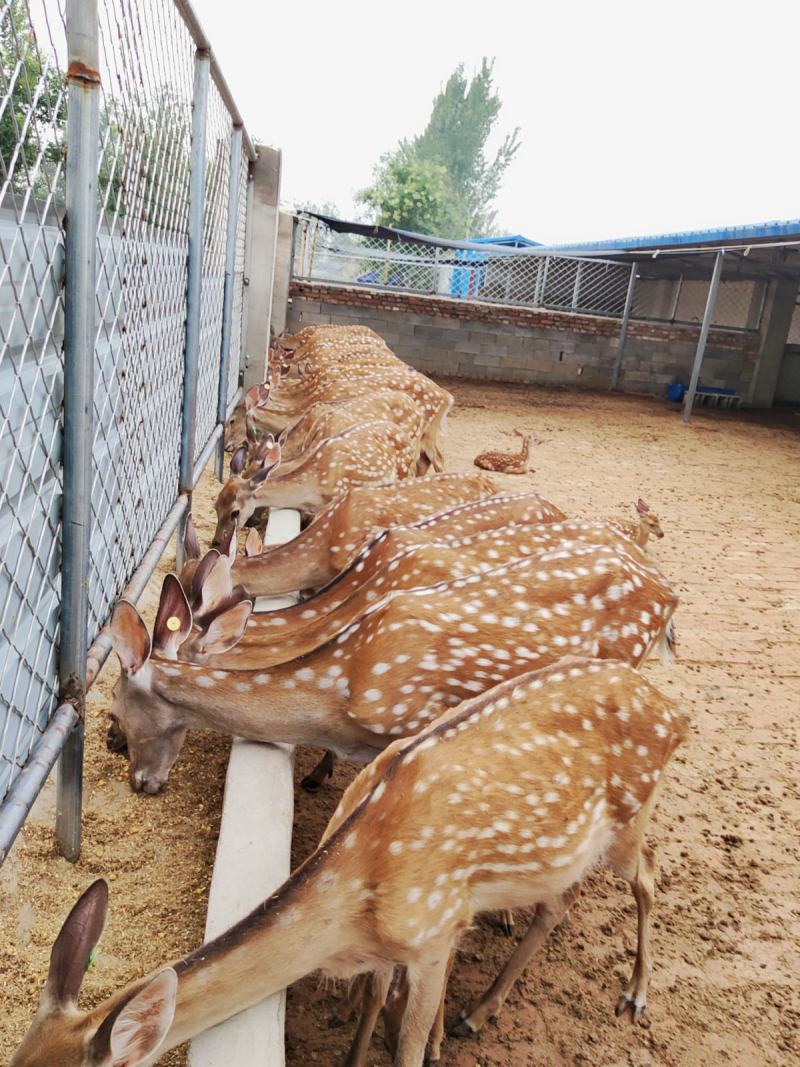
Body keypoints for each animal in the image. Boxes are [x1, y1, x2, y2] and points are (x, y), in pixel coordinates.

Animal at [12, 659, 688, 1067]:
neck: (354, 908)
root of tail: (673, 709)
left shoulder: (433, 930)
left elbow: (408, 1044)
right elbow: (372, 999)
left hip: (631, 816)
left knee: (649, 877)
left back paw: (632, 996)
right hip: (569, 852)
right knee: (560, 902)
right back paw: (479, 1012)